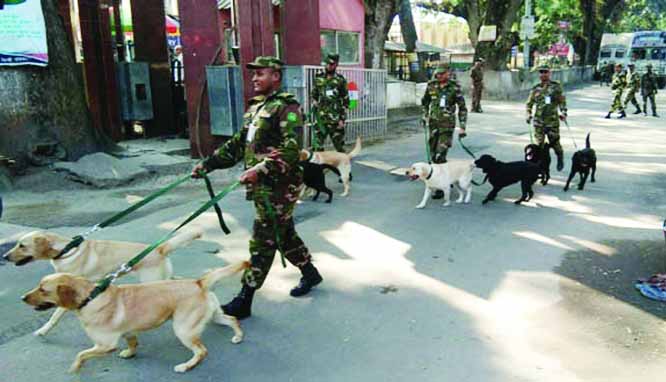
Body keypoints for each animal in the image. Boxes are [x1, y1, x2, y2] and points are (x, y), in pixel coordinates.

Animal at [22, 262, 249, 374]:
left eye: (43, 290)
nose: (22, 298)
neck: (90, 297)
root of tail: (198, 282)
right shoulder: (128, 332)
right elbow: (132, 343)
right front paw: (130, 353)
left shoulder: (105, 345)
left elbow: (81, 354)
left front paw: (75, 368)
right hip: (213, 315)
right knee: (232, 319)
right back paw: (238, 336)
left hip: (183, 329)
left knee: (202, 351)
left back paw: (186, 366)